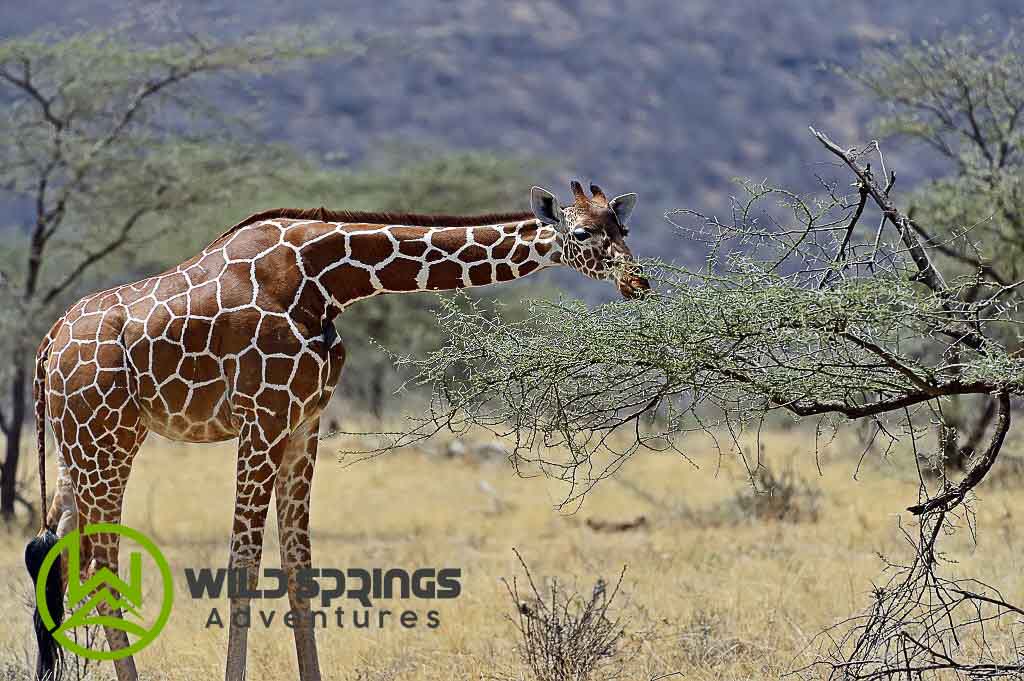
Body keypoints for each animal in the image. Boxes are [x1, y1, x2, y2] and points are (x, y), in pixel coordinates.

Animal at [22, 180, 647, 679]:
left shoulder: (304, 422)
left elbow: (299, 566)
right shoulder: (262, 417)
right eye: (584, 233)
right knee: (98, 561)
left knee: (57, 550)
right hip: (106, 438)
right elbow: (243, 565)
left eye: (623, 227)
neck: (327, 282)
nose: (637, 280)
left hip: (81, 445)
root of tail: (48, 345)